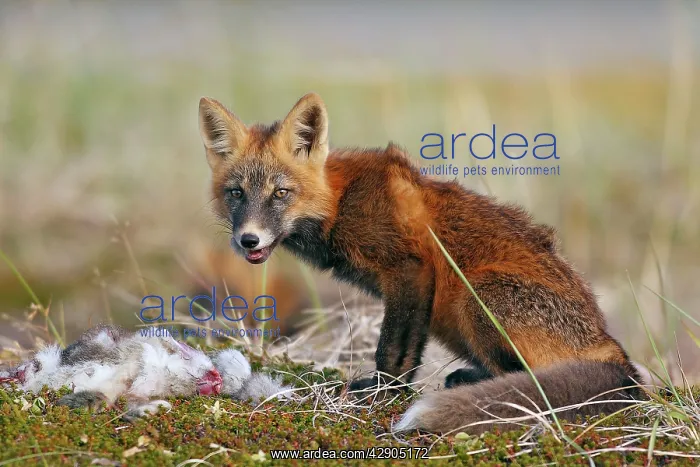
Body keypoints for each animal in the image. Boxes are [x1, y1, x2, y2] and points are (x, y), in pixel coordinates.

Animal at [197, 92, 642, 433]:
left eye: (280, 193)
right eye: (236, 193)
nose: (248, 239)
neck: (341, 202)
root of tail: (611, 349)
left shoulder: (411, 269)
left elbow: (393, 351)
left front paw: (385, 394)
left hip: (478, 296)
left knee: (527, 378)